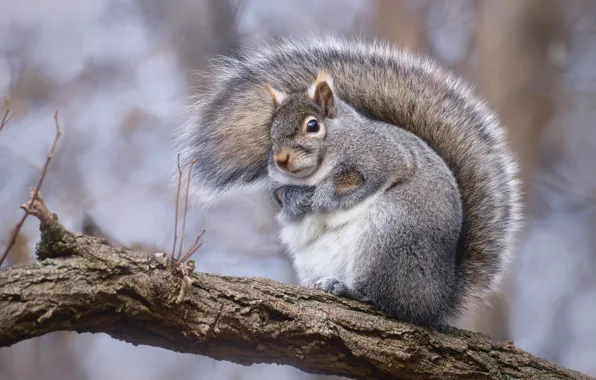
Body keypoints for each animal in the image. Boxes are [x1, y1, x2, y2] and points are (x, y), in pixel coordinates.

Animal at [176, 34, 520, 328]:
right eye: (270, 130)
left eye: (312, 126)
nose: (280, 158)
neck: (315, 170)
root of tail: (437, 301)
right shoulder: (280, 185)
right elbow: (282, 195)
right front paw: (297, 198)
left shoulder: (383, 157)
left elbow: (358, 181)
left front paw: (323, 196)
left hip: (393, 234)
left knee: (384, 300)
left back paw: (349, 289)